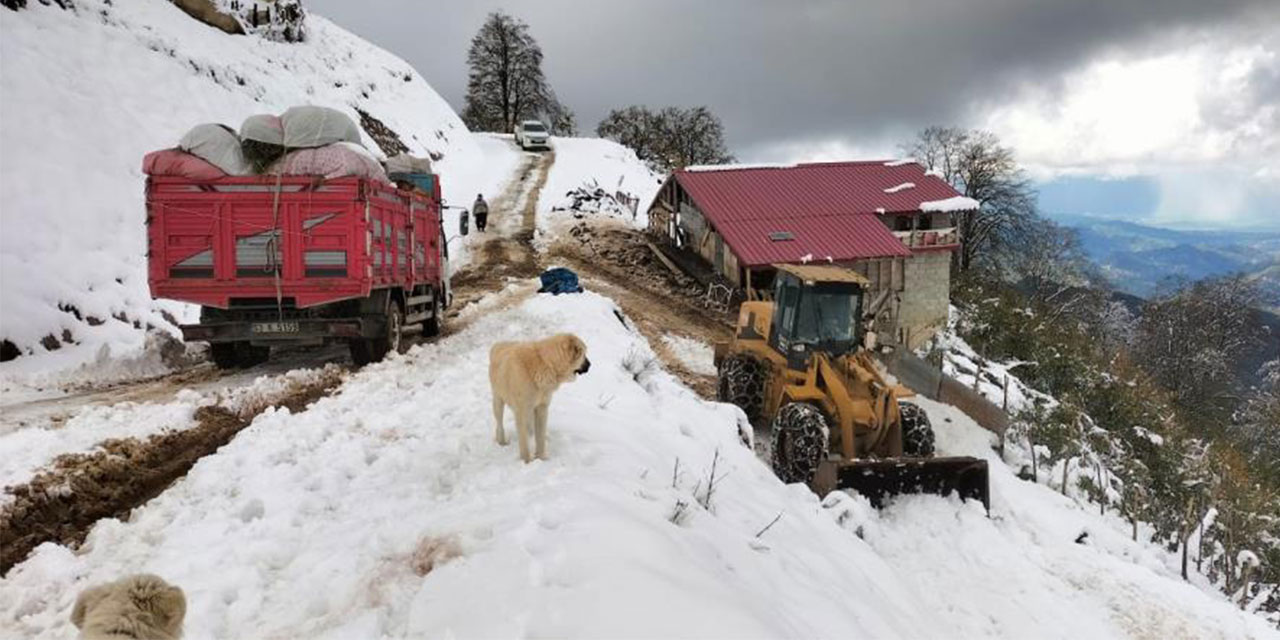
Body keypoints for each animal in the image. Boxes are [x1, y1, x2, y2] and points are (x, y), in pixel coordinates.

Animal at [488, 332, 588, 463]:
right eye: (583, 354)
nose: (590, 365)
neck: (545, 363)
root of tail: (498, 344)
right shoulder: (521, 411)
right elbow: (524, 440)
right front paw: (527, 461)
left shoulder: (542, 407)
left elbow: (540, 436)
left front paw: (541, 458)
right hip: (498, 400)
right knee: (499, 424)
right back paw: (501, 441)